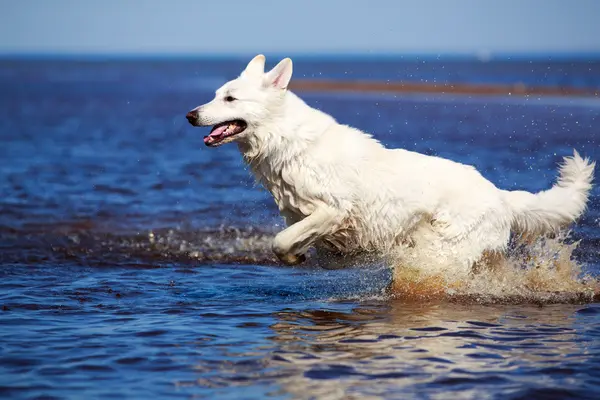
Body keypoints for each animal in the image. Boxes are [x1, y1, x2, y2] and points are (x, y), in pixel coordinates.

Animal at [186, 54, 596, 280]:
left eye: (230, 98)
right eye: (215, 95)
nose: (190, 115)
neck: (285, 138)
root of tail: (501, 196)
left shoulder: (334, 209)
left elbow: (279, 240)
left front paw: (292, 253)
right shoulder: (306, 218)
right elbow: (300, 243)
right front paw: (300, 255)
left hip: (442, 249)